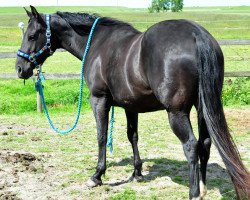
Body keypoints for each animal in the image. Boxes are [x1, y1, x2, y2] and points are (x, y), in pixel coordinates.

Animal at [16, 5, 249, 198]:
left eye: (32, 35)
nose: (19, 69)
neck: (97, 44)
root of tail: (196, 35)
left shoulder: (99, 100)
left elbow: (101, 136)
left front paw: (97, 175)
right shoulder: (131, 106)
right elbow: (133, 136)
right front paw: (137, 172)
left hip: (177, 112)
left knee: (191, 146)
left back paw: (194, 193)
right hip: (202, 108)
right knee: (205, 144)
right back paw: (203, 187)